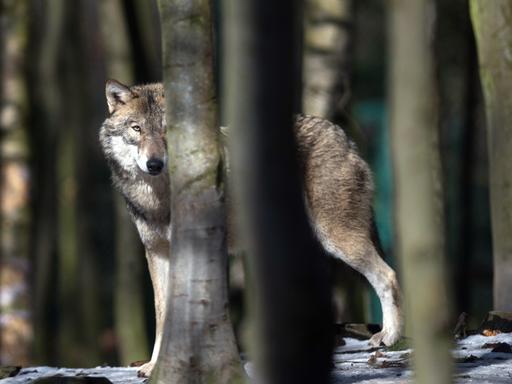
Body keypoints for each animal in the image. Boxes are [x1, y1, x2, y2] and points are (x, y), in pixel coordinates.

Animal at [99, 79, 404, 376]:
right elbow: (162, 313)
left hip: (338, 240)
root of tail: (343, 136)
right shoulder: (157, 253)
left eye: (166, 129)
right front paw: (155, 366)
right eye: (137, 128)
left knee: (388, 275)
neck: (160, 197)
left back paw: (388, 336)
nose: (154, 164)